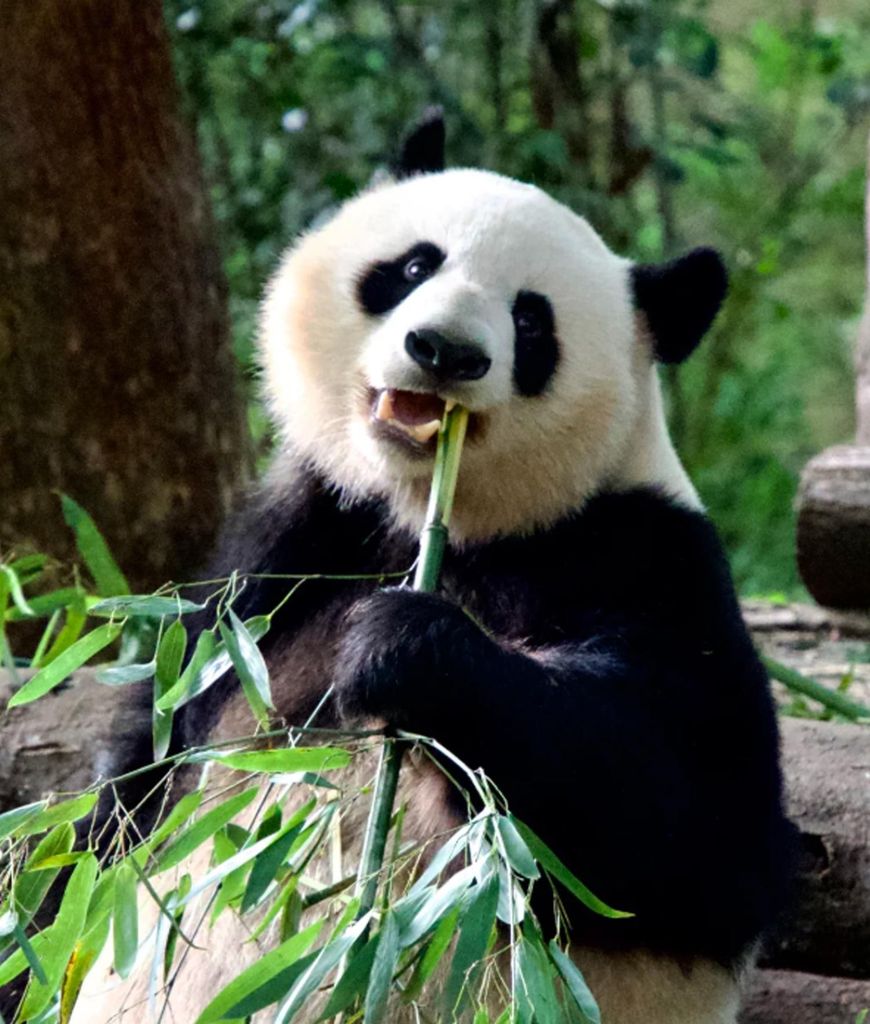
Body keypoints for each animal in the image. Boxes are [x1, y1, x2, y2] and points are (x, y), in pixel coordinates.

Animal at [69, 112, 793, 1024]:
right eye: (415, 266)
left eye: (531, 322)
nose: (445, 350)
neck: (433, 519)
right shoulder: (298, 544)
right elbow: (156, 742)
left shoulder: (644, 559)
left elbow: (701, 834)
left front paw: (400, 646)